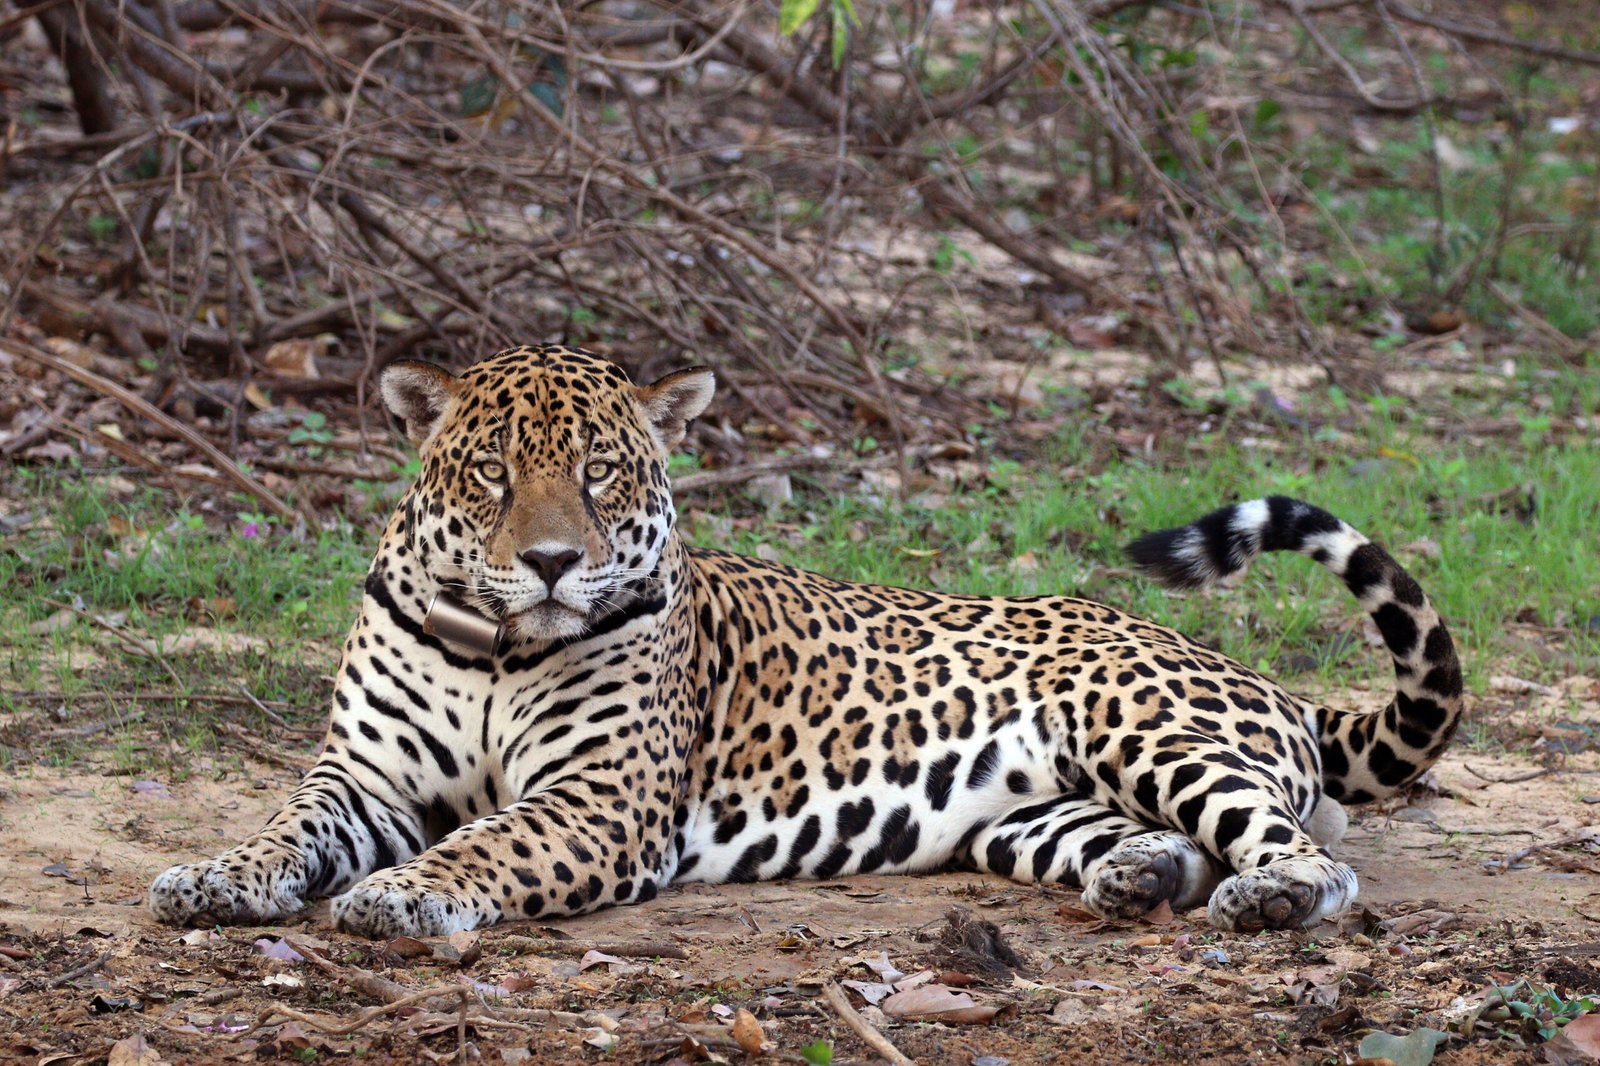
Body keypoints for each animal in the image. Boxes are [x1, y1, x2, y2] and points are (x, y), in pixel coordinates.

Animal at [149, 344, 1464, 938]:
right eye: (492, 474)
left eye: (601, 472)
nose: (553, 561)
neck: (496, 644)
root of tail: (1266, 681)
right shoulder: (363, 777)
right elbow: (286, 822)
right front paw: (213, 874)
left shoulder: (596, 803)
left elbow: (486, 842)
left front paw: (401, 891)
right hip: (1031, 811)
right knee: (1169, 839)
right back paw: (1140, 873)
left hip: (1144, 726)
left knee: (1309, 850)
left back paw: (1265, 898)